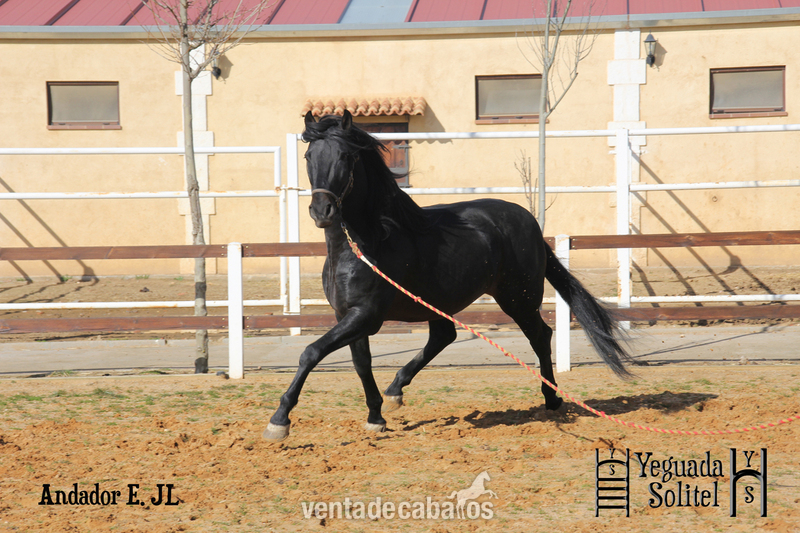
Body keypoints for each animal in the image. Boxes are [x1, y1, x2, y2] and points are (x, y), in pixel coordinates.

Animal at [262, 110, 633, 442]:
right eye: (309, 156)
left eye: (345, 156)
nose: (321, 212)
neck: (366, 243)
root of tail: (529, 221)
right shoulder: (348, 315)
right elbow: (361, 363)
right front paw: (376, 417)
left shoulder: (366, 315)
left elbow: (311, 352)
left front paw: (279, 421)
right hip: (442, 302)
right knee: (444, 336)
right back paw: (396, 391)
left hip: (518, 299)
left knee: (540, 336)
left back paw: (552, 398)